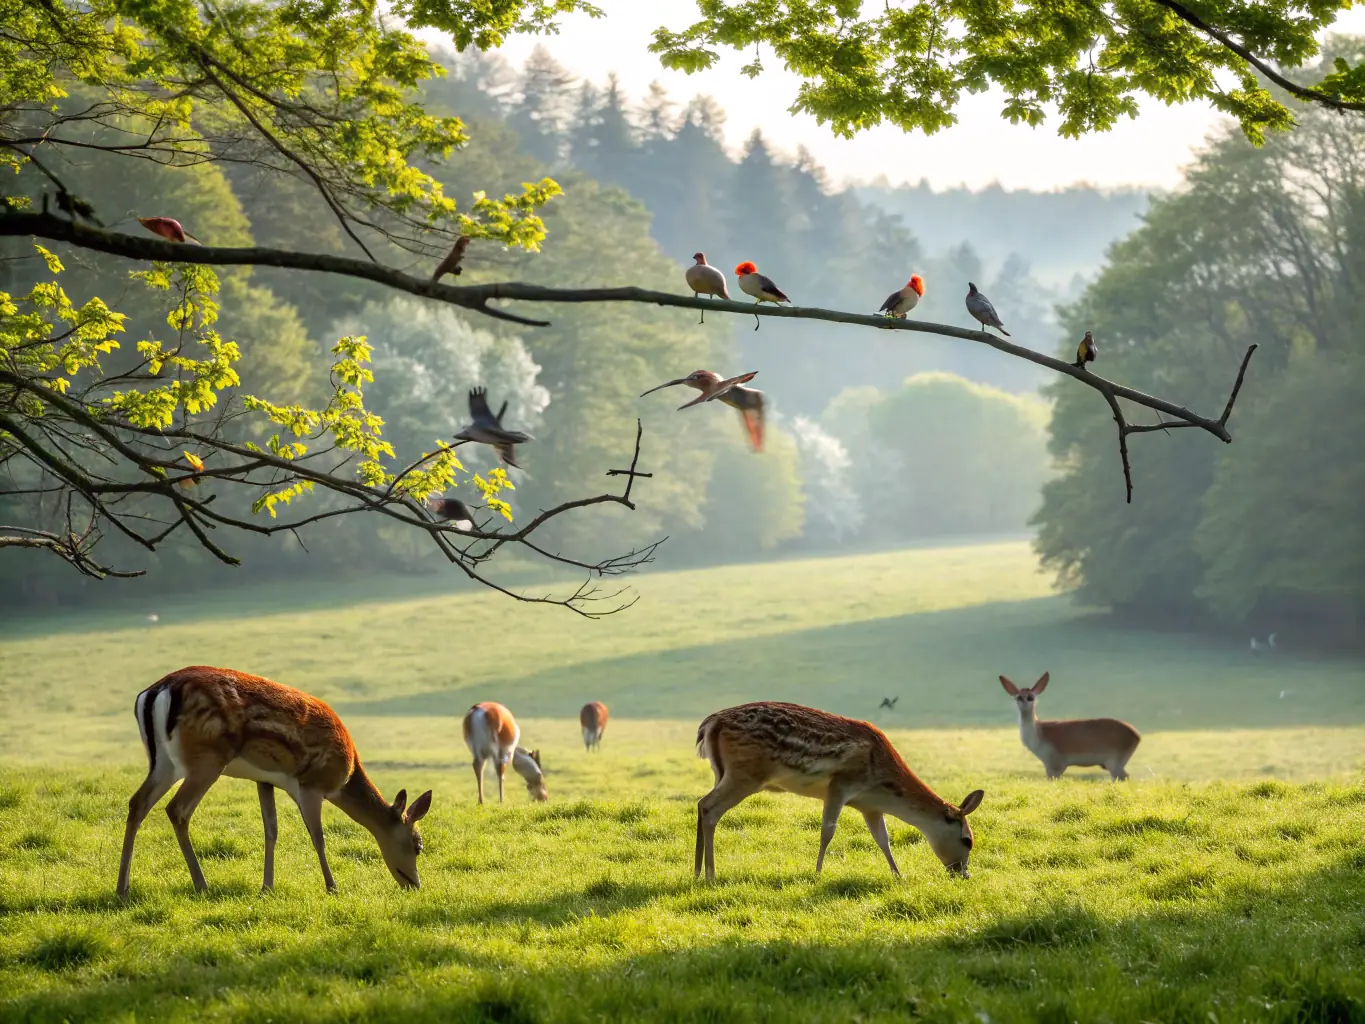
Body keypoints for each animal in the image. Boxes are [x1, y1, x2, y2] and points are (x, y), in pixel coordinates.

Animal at [117, 666, 432, 900]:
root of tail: (156, 692)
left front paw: (267, 887)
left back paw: (122, 889)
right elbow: (318, 836)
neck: (345, 777)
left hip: (163, 762)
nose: (414, 884)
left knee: (137, 803)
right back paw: (201, 884)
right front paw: (332, 887)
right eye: (418, 844)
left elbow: (271, 830)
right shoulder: (310, 784)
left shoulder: (264, 779)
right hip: (205, 758)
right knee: (177, 809)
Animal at [693, 701, 984, 882]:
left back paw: (696, 872)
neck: (880, 786)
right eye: (968, 840)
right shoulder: (841, 785)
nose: (963, 873)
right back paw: (710, 874)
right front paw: (817, 873)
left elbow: (883, 839)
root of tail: (709, 724)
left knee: (701, 803)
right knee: (709, 807)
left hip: (721, 772)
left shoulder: (869, 806)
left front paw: (898, 874)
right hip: (746, 773)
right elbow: (827, 831)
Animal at [998, 672, 1141, 781]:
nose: (1024, 703)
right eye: (1018, 697)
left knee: (1125, 777)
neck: (1038, 735)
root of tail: (1137, 735)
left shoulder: (1055, 763)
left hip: (1115, 761)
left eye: (1031, 697)